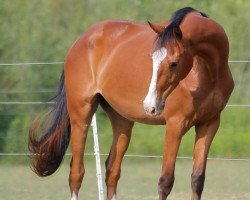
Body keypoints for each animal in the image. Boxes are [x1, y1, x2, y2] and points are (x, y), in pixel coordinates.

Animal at [28, 7, 234, 199]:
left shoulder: (209, 124)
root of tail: (80, 41)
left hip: (122, 122)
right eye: (152, 59)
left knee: (112, 171)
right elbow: (165, 181)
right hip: (81, 117)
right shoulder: (175, 125)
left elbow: (197, 180)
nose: (150, 105)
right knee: (76, 173)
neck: (208, 73)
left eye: (174, 63)